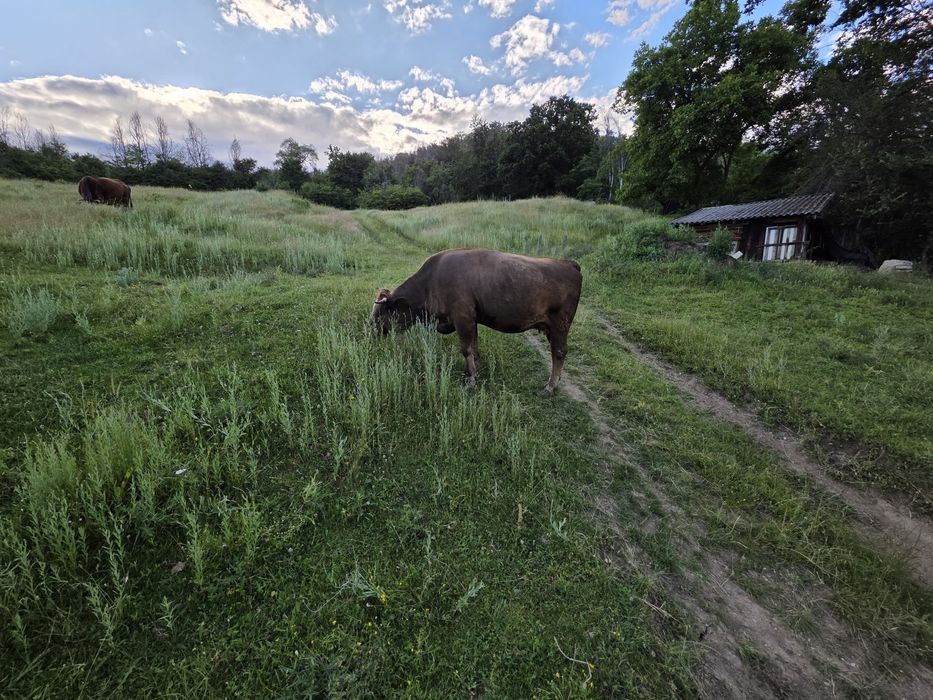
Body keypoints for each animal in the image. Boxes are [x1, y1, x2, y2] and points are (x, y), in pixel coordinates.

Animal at [371, 248, 582, 394]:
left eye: (379, 314)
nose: (373, 334)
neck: (431, 281)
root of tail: (570, 264)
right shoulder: (471, 321)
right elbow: (474, 346)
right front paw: (474, 369)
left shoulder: (462, 318)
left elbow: (466, 349)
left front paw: (471, 380)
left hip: (560, 326)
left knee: (559, 353)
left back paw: (550, 386)